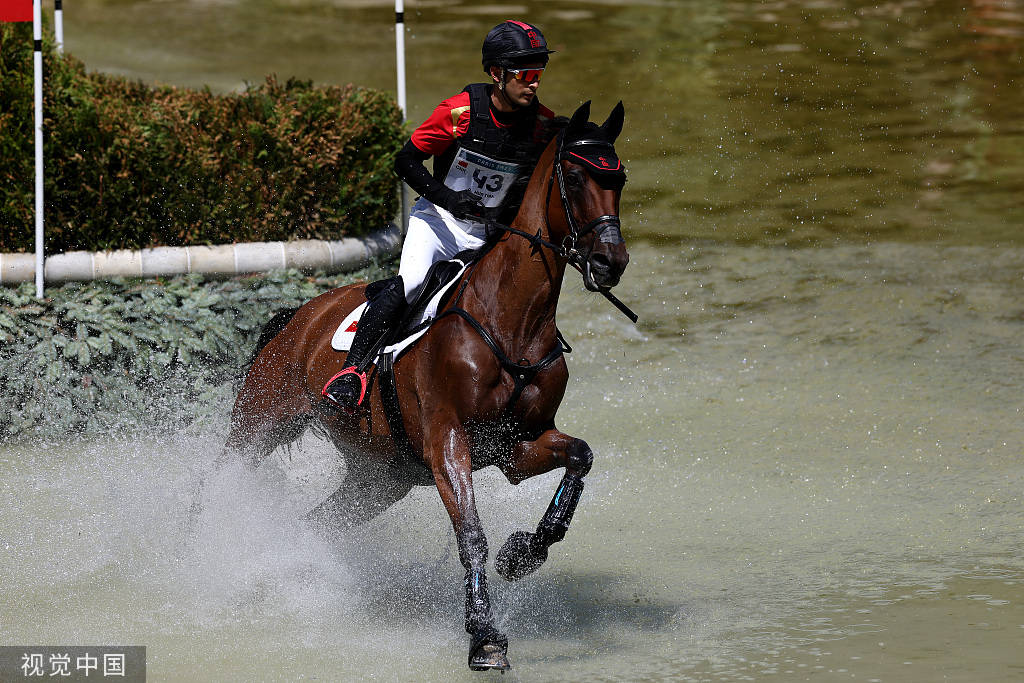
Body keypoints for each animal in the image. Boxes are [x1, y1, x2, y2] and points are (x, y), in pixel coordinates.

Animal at [204, 101, 626, 671]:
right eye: (577, 177)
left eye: (618, 179)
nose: (611, 262)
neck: (512, 322)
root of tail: (300, 315)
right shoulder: (447, 440)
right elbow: (470, 534)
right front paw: (484, 637)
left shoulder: (515, 446)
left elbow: (580, 457)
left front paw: (523, 554)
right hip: (260, 421)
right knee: (217, 479)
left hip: (380, 477)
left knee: (317, 522)